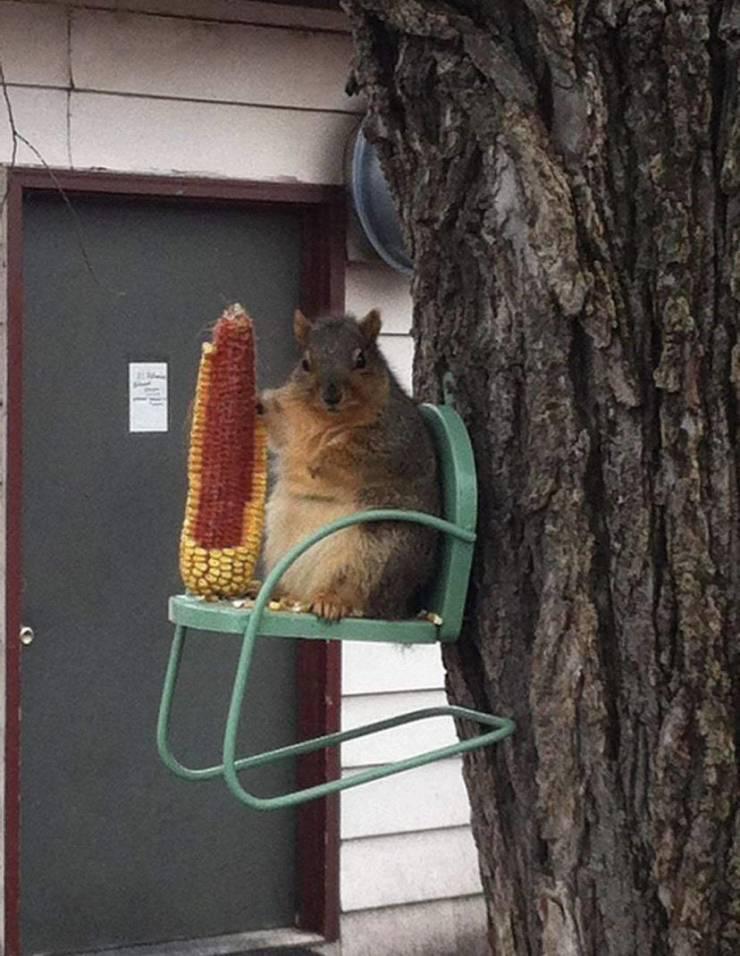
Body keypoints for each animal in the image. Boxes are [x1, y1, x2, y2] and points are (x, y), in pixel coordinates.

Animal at [258, 306, 440, 620]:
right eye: (305, 362)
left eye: (361, 359)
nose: (331, 394)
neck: (327, 419)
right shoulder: (291, 423)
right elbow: (279, 427)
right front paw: (254, 403)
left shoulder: (392, 436)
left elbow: (354, 452)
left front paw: (318, 461)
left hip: (381, 551)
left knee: (358, 593)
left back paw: (331, 601)